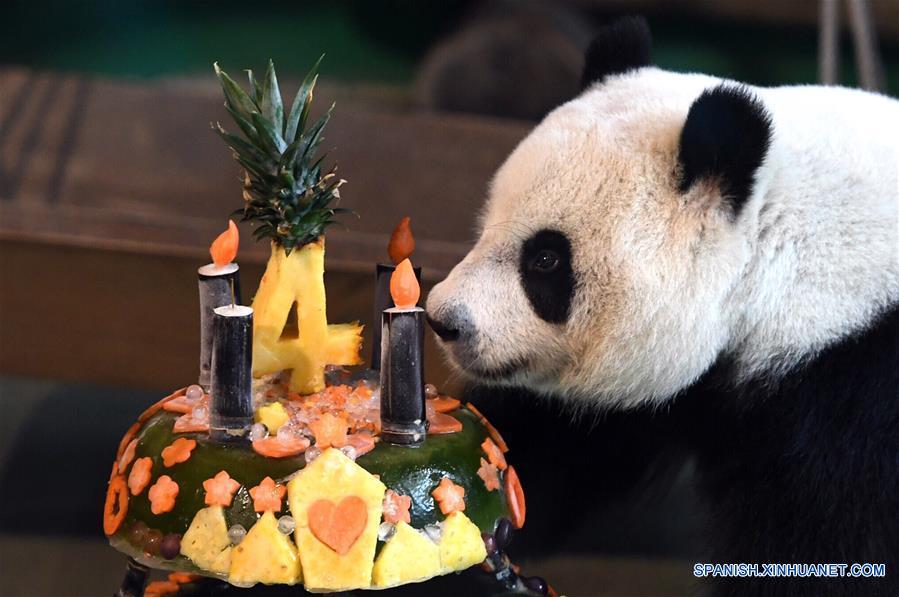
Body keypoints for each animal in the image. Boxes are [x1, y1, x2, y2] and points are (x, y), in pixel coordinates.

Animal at [425, 16, 899, 597]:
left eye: (545, 259)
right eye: (486, 225)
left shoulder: (850, 387)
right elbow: (550, 450)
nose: (445, 320)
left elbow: (823, 545)